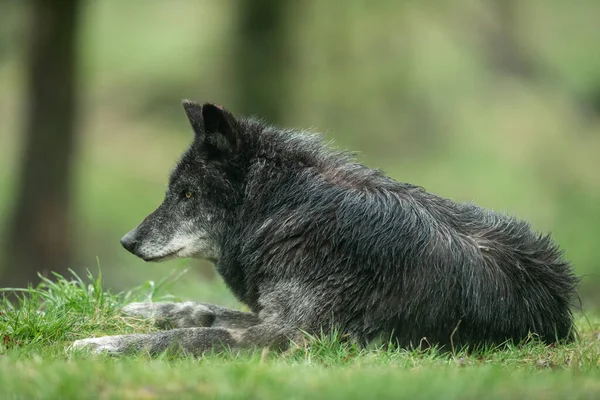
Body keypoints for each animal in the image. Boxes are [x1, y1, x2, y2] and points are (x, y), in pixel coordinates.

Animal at [72, 101, 580, 354]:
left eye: (187, 195)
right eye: (175, 191)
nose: (127, 242)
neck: (283, 211)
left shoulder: (294, 334)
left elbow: (195, 336)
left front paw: (102, 343)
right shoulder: (276, 314)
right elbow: (202, 312)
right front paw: (143, 309)